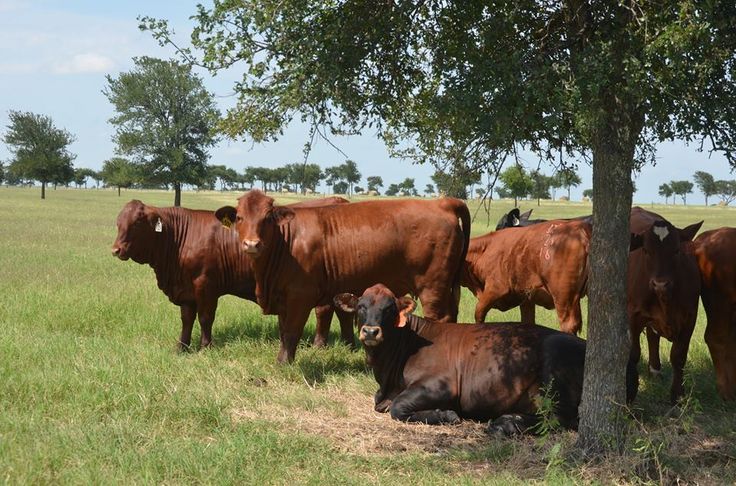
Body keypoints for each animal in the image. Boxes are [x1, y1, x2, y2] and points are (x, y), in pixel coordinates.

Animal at [111, 197, 353, 351]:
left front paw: (206, 347)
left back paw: (319, 345)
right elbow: (186, 319)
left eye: (138, 222)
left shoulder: (206, 285)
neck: (179, 239)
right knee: (342, 311)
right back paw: (348, 343)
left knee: (324, 311)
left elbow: (205, 317)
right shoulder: (186, 289)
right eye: (118, 222)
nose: (116, 249)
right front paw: (182, 347)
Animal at [215, 190, 470, 363]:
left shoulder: (300, 296)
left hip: (432, 287)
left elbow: (291, 331)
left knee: (438, 319)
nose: (252, 244)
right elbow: (283, 331)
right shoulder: (282, 297)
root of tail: (442, 202)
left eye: (267, 217)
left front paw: (285, 364)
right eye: (239, 217)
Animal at [333, 284, 638, 434]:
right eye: (361, 307)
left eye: (389, 308)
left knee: (561, 418)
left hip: (555, 372)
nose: (370, 331)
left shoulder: (441, 384)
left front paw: (445, 414)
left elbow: (398, 408)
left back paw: (506, 424)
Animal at [461, 219, 591, 334]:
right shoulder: (526, 299)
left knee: (568, 325)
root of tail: (582, 230)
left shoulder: (495, 288)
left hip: (564, 297)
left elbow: (478, 314)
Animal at [627, 207, 702, 403]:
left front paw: (677, 393)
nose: (660, 284)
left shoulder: (690, 318)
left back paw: (655, 369)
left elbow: (678, 356)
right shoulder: (633, 316)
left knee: (652, 337)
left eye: (676, 251)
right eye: (646, 250)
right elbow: (634, 353)